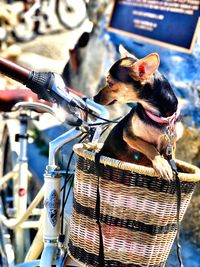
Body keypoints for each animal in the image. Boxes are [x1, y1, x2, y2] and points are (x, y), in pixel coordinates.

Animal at [93, 47, 182, 181]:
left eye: (110, 83)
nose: (94, 97)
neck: (157, 116)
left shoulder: (172, 144)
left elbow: (170, 157)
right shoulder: (129, 135)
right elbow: (149, 146)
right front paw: (162, 164)